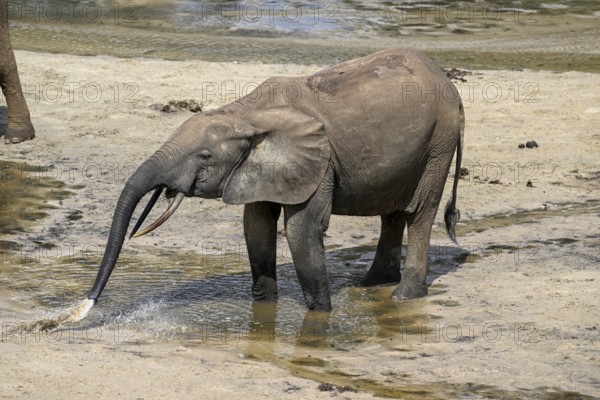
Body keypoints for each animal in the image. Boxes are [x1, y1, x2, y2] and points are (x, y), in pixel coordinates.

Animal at [76, 46, 464, 316]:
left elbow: (301, 228)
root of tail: (449, 84)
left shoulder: (318, 163)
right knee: (393, 212)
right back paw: (372, 284)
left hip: (439, 144)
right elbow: (256, 225)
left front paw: (321, 316)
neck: (245, 113)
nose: (84, 305)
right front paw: (263, 310)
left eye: (205, 157)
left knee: (419, 212)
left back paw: (403, 296)